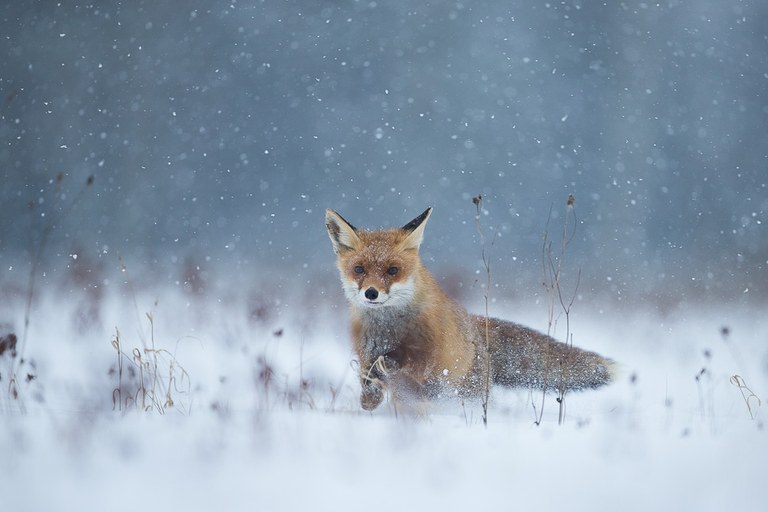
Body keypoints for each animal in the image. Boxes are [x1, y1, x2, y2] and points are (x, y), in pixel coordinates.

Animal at [324, 206, 612, 410]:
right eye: (359, 269)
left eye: (392, 271)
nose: (371, 293)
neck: (388, 328)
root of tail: (474, 325)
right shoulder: (365, 351)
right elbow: (369, 378)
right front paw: (369, 399)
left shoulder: (427, 357)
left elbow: (403, 365)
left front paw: (388, 367)